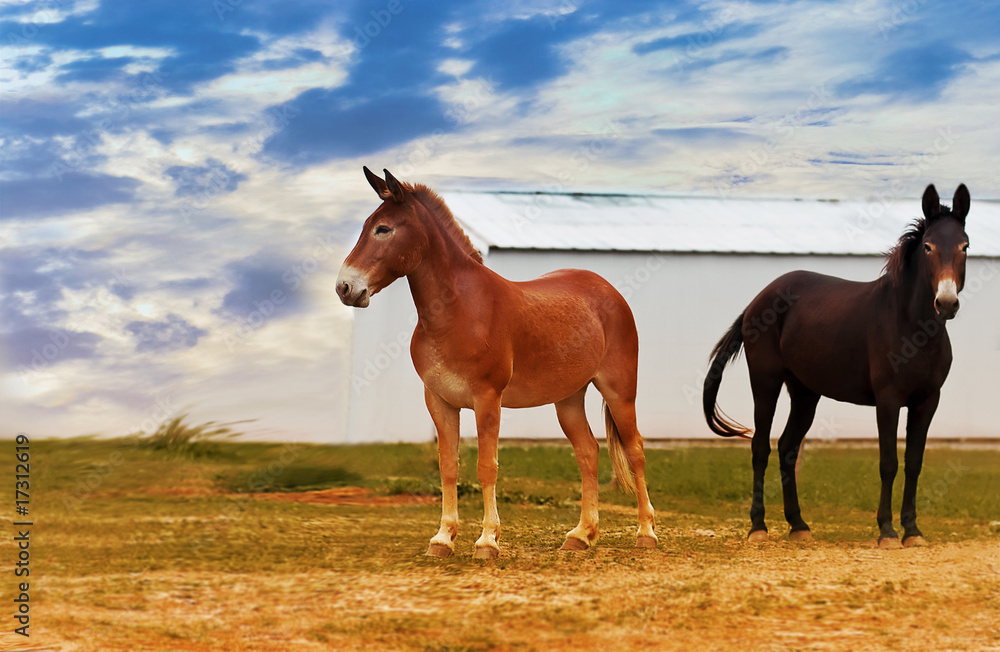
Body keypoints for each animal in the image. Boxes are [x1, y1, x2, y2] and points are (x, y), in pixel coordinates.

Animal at [336, 167, 657, 558]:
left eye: (383, 228)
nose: (345, 287)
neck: (460, 311)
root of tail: (609, 291)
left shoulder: (487, 400)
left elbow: (486, 467)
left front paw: (487, 541)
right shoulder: (439, 402)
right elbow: (448, 466)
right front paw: (442, 539)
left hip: (620, 392)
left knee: (635, 451)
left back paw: (646, 533)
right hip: (568, 399)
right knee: (588, 453)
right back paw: (581, 535)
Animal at [703, 183, 971, 549]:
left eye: (964, 246)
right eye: (928, 247)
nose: (946, 303)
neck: (912, 327)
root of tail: (758, 300)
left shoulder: (927, 402)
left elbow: (913, 463)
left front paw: (912, 531)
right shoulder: (888, 401)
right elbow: (888, 463)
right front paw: (887, 531)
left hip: (805, 393)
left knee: (787, 448)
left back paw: (798, 524)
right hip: (765, 382)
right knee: (760, 447)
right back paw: (758, 527)